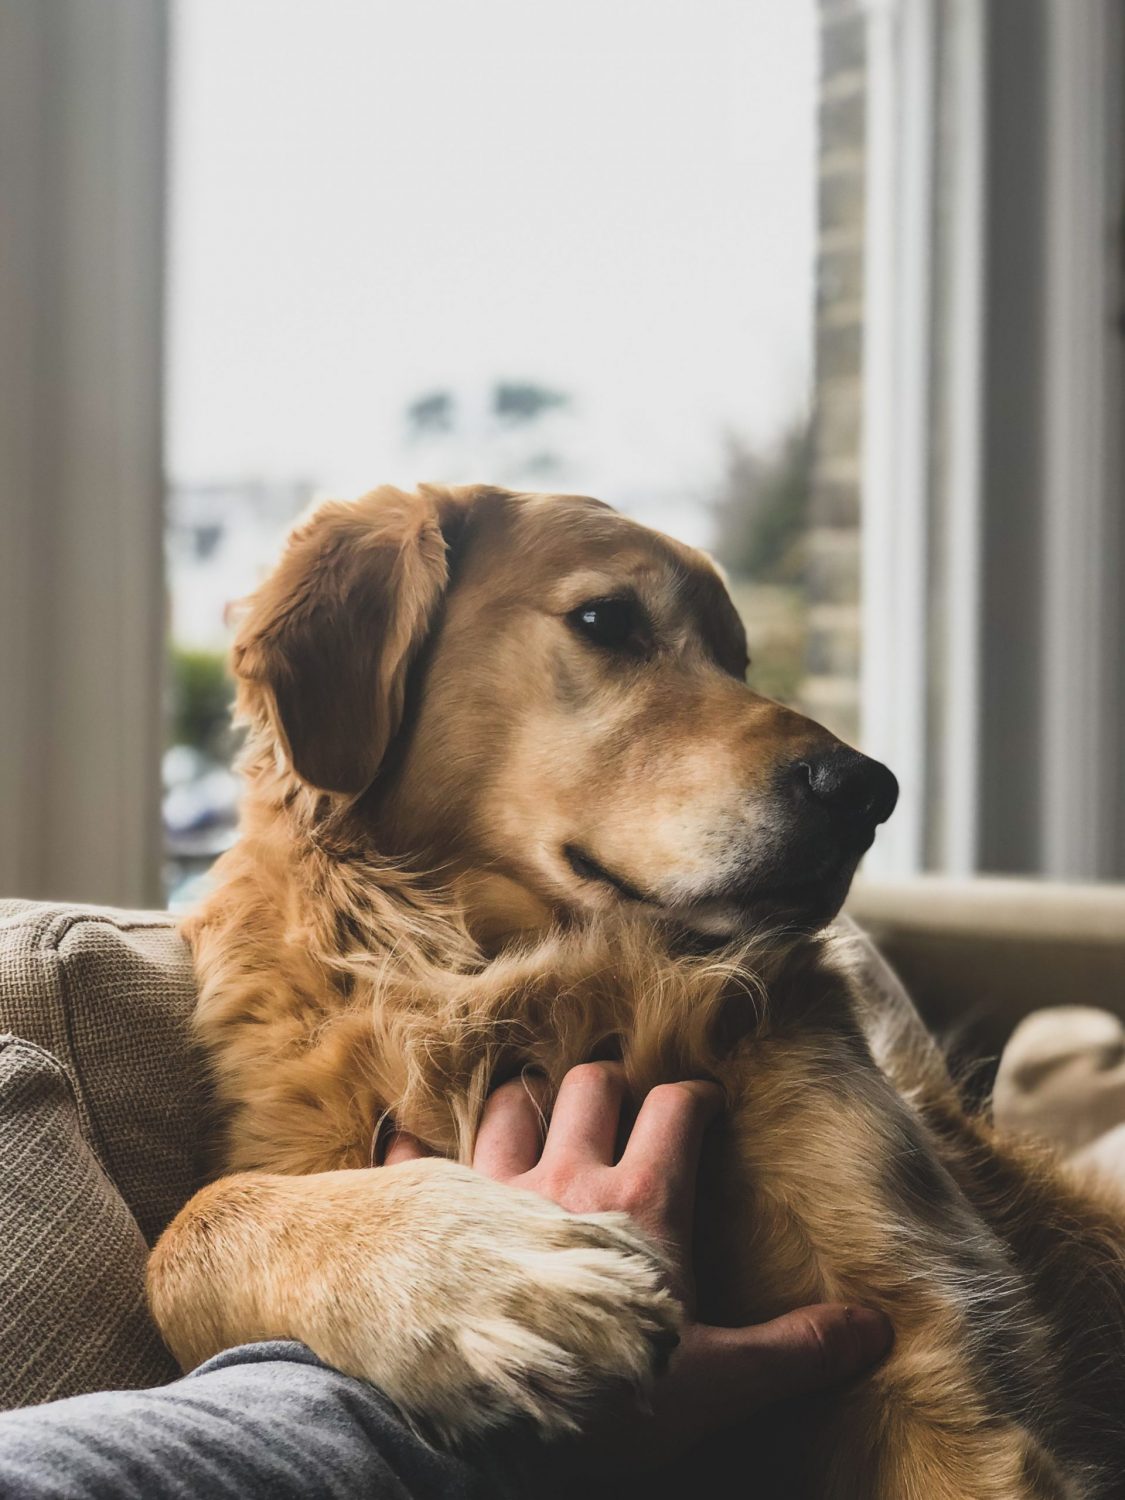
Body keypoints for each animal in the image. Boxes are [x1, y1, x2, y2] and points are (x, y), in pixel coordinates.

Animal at [147, 486, 1125, 1494]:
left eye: (737, 659)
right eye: (606, 621)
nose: (867, 791)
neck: (516, 974)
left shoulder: (935, 1357)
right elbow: (187, 1233)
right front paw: (490, 1277)